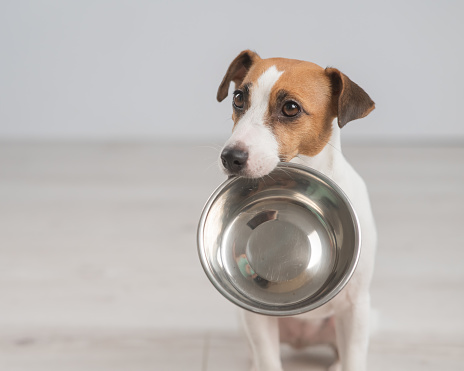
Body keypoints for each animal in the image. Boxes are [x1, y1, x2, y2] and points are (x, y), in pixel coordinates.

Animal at [217, 49, 376, 371]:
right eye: (238, 98)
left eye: (290, 107)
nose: (230, 157)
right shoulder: (256, 319)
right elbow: (268, 361)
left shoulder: (355, 308)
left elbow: (354, 358)